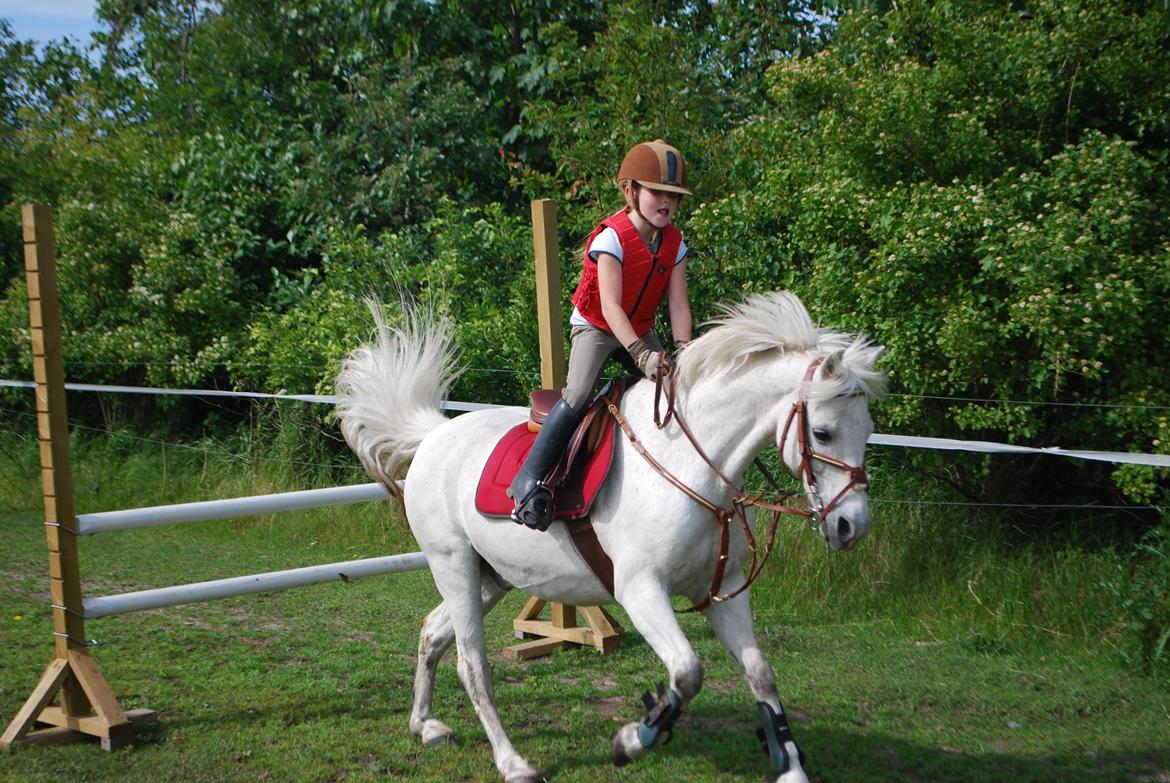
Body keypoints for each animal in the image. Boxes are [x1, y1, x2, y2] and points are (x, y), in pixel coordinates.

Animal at [335, 290, 885, 783]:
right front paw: (633, 739)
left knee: (433, 632)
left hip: (490, 577)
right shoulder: (640, 590)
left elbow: (760, 674)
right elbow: (687, 672)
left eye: (867, 430)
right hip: (453, 567)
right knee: (473, 666)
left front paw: (790, 766)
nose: (850, 527)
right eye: (823, 433)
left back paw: (425, 725)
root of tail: (434, 435)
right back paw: (514, 764)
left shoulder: (722, 593)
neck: (689, 461)